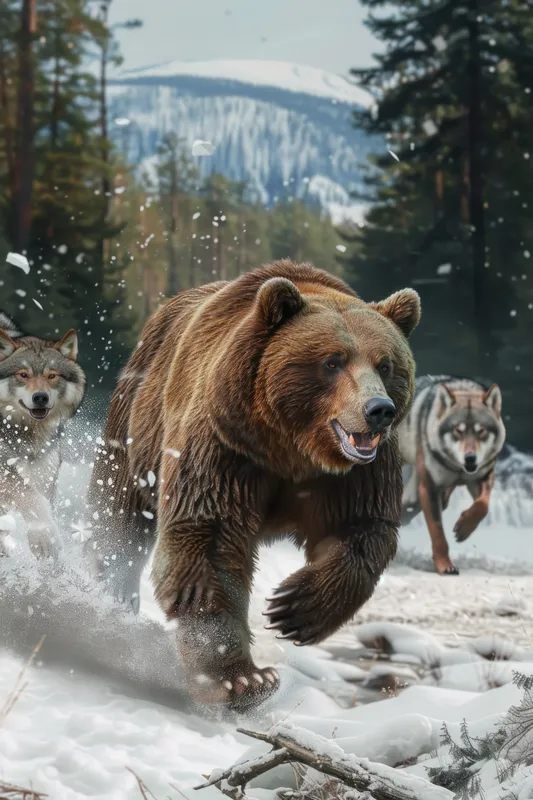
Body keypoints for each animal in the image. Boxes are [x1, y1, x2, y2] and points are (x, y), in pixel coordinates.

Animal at [0, 311, 86, 558]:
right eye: (23, 375)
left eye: (52, 376)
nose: (40, 397)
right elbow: (31, 498)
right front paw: (45, 539)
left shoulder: (44, 474)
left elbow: (39, 502)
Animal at [399, 374, 505, 575]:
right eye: (458, 431)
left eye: (481, 431)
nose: (470, 458)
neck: (457, 469)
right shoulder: (429, 488)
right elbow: (438, 533)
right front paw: (445, 566)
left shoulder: (482, 478)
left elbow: (483, 505)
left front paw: (464, 528)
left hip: (413, 498)